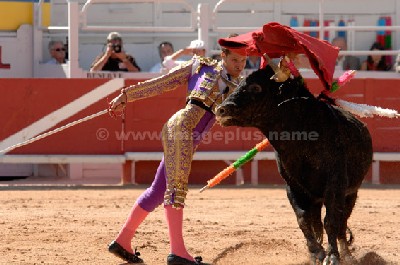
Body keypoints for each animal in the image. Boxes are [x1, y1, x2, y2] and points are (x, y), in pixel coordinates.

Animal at [217, 64, 374, 264]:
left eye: (256, 87)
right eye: (236, 87)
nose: (221, 110)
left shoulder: (335, 184)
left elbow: (331, 220)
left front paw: (331, 256)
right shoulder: (293, 186)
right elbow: (302, 218)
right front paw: (316, 252)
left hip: (351, 193)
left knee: (341, 221)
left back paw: (346, 254)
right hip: (316, 197)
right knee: (318, 221)